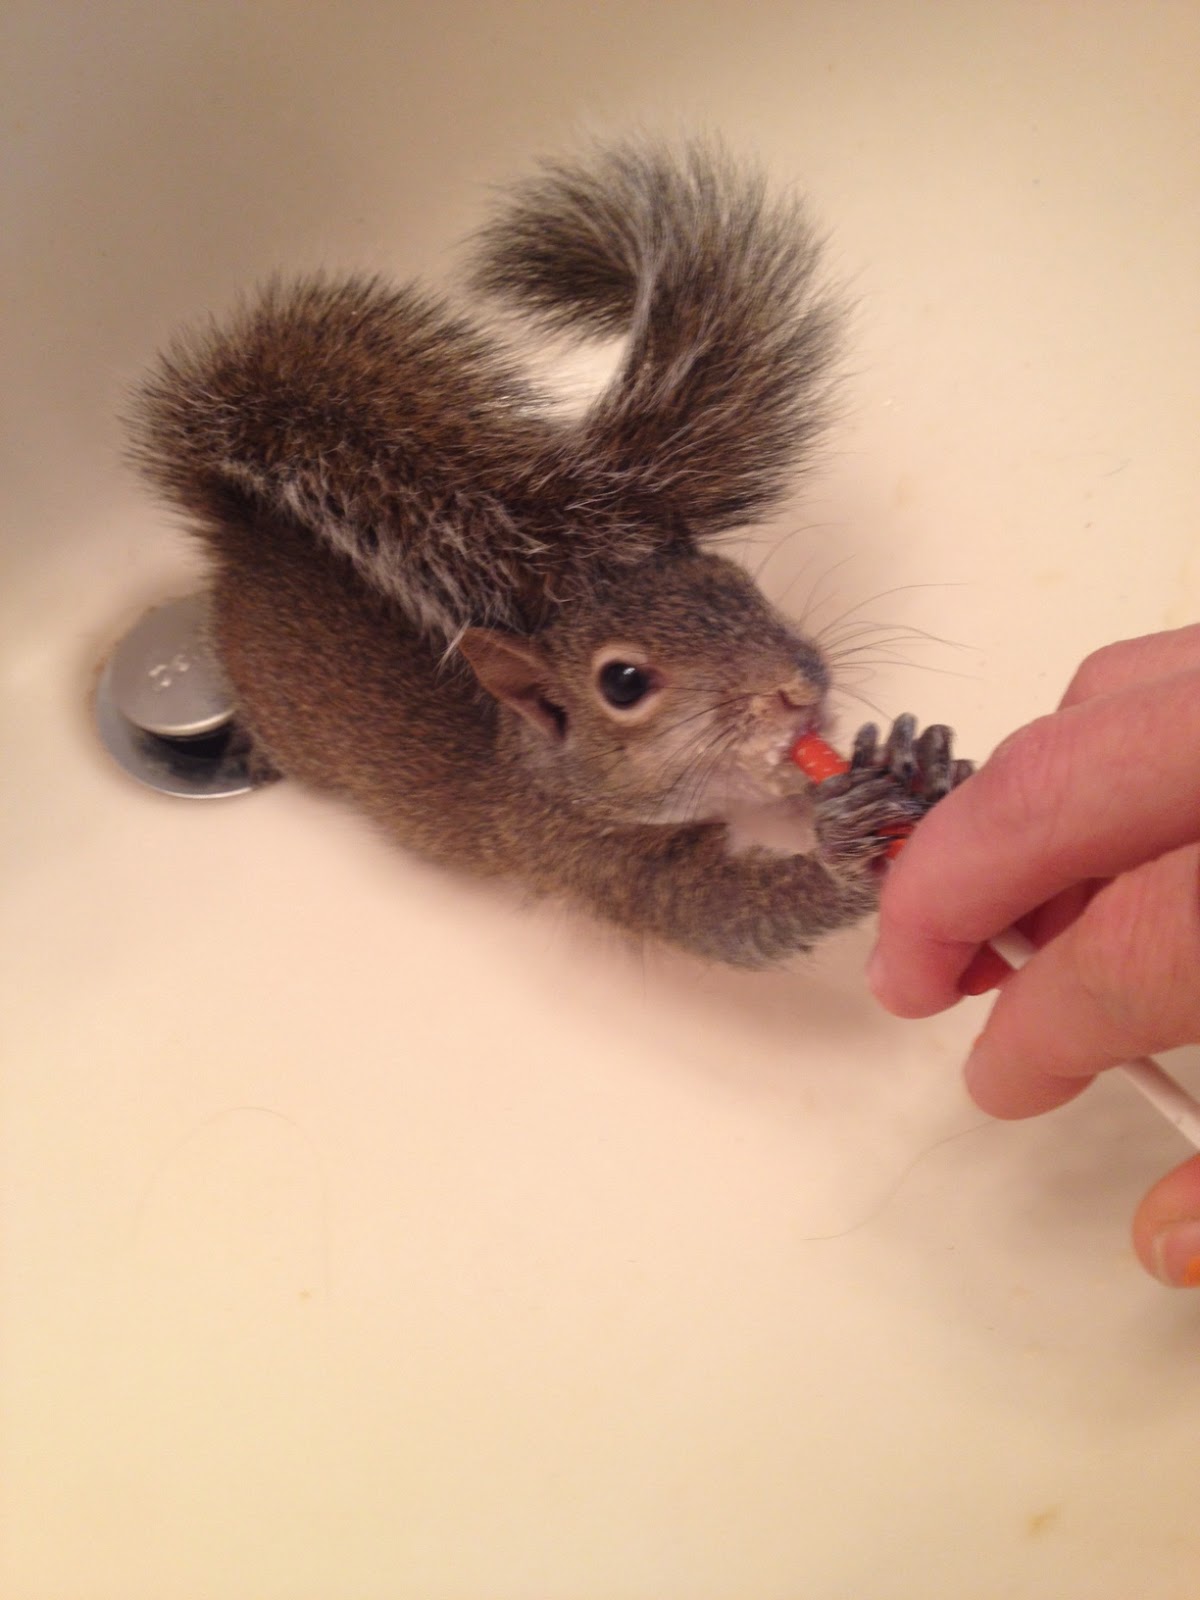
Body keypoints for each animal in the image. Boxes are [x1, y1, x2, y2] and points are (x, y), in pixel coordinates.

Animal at [128, 140, 970, 967]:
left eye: (735, 582)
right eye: (623, 684)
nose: (797, 691)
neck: (546, 771)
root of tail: (247, 534)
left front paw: (910, 760)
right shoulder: (590, 855)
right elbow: (727, 916)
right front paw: (846, 847)